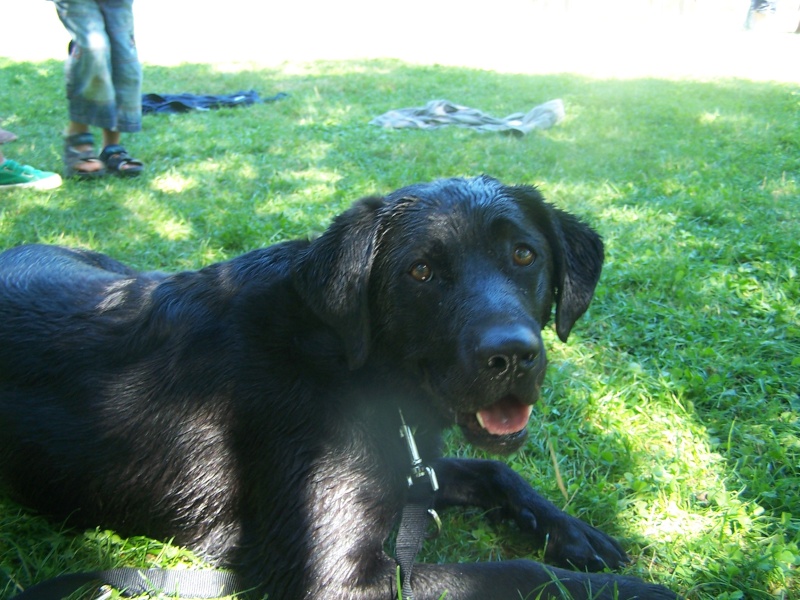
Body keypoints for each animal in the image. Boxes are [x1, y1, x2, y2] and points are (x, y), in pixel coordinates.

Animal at [0, 176, 680, 596]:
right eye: (421, 271)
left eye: (524, 255)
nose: (512, 355)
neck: (351, 363)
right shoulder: (338, 579)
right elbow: (509, 575)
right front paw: (627, 591)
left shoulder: (413, 464)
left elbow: (495, 471)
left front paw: (574, 533)